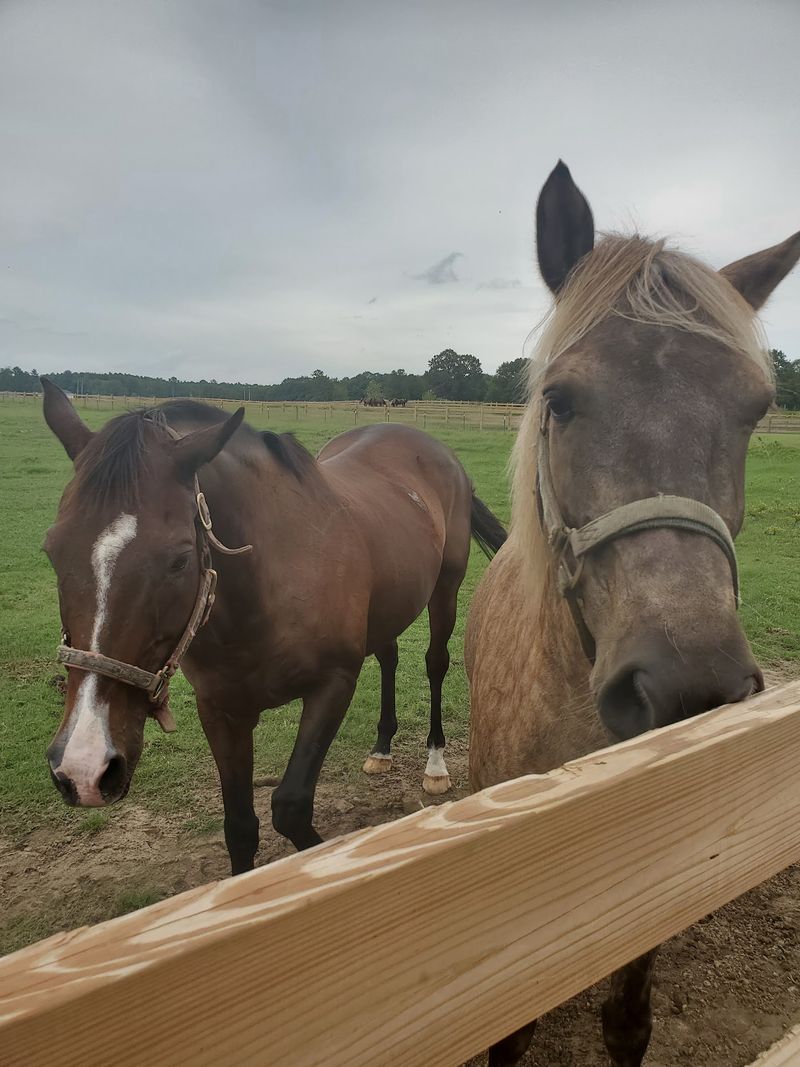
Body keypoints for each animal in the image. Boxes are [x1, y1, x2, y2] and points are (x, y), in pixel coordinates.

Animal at [41, 386, 507, 874]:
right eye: (51, 550)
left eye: (180, 559)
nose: (84, 766)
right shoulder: (220, 711)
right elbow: (240, 827)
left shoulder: (332, 686)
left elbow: (291, 807)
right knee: (389, 658)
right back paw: (381, 749)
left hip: (446, 588)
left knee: (435, 664)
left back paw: (435, 765)